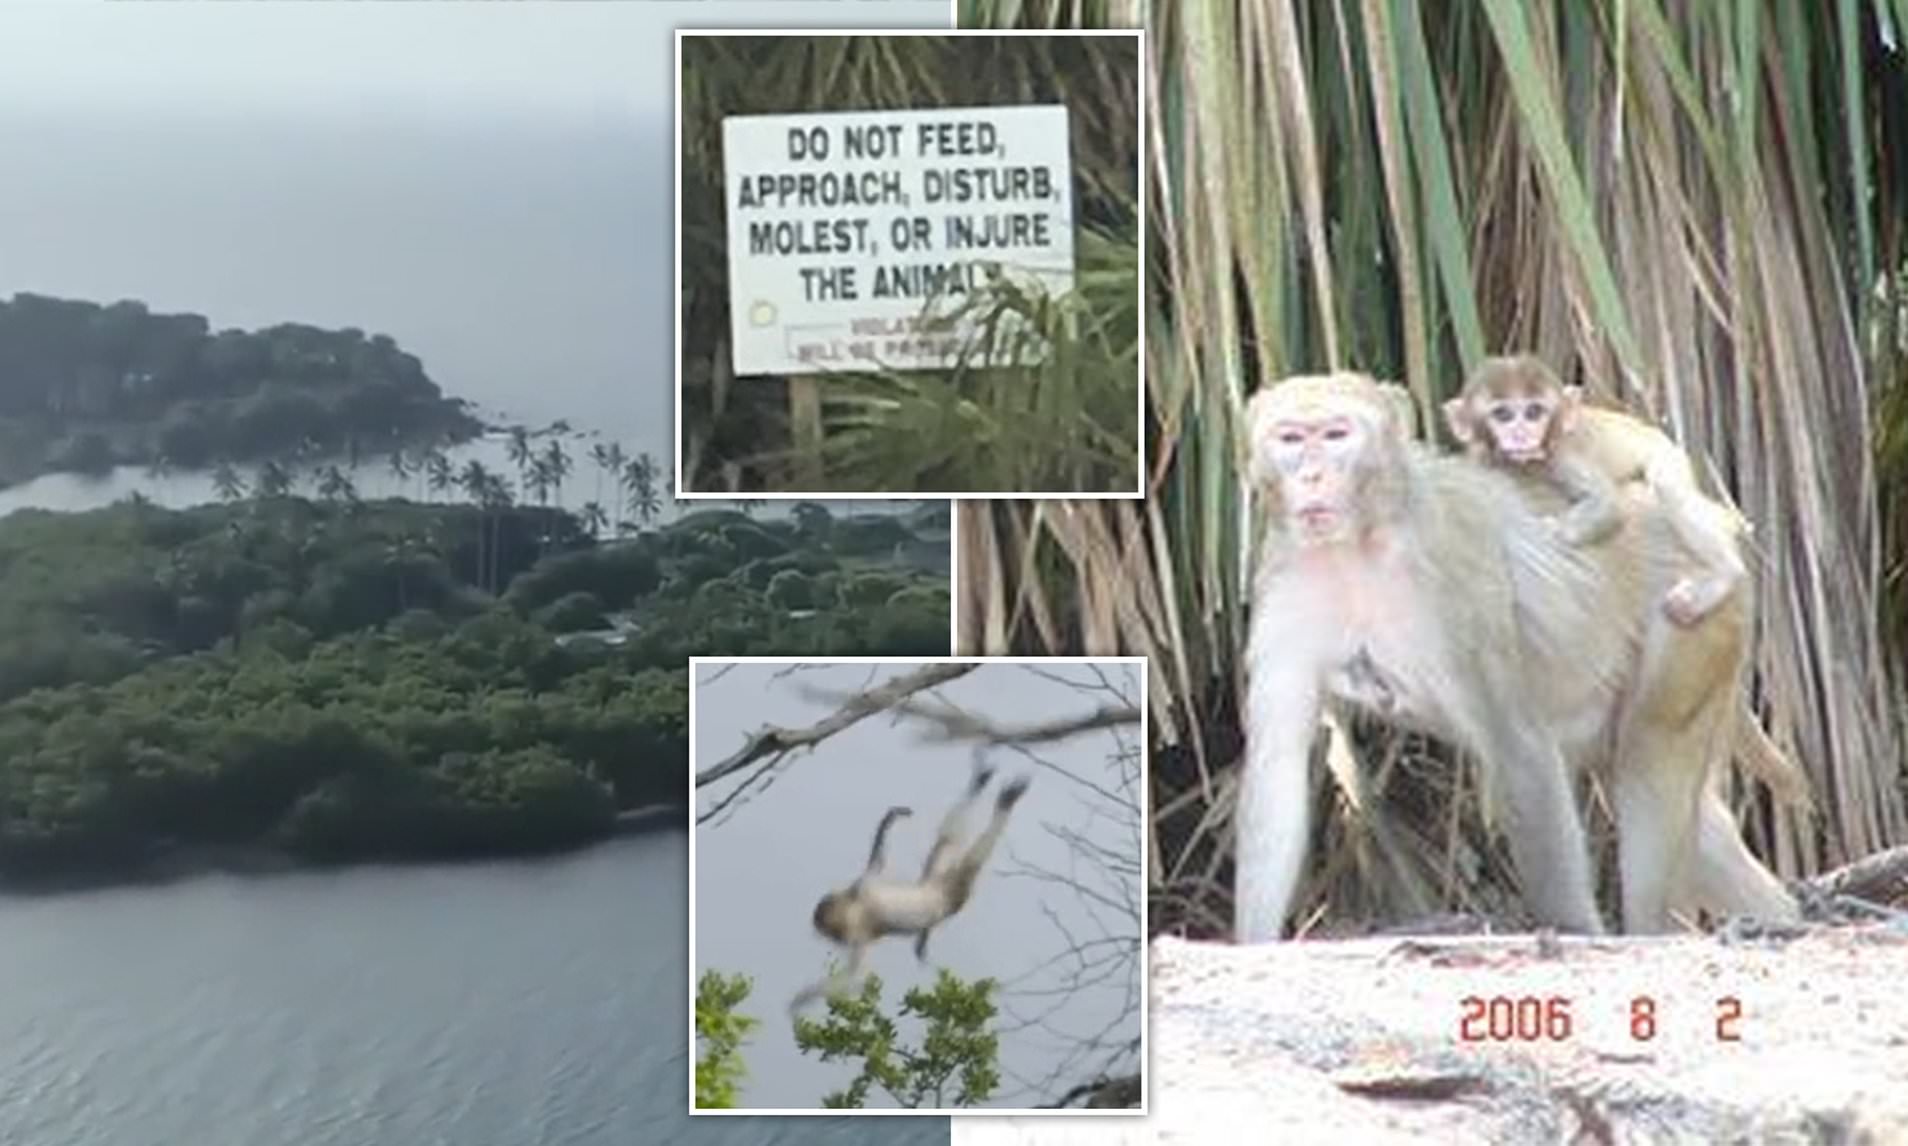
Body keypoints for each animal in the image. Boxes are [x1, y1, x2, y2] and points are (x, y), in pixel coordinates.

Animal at [789, 758, 1030, 1006]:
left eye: (829, 930)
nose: (832, 938)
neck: (855, 905)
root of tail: (935, 887)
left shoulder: (857, 915)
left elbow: (857, 976)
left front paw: (800, 999)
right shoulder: (858, 895)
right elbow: (877, 864)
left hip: (952, 892)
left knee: (972, 859)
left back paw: (1005, 800)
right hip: (936, 873)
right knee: (948, 839)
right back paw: (981, 782)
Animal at [1442, 354, 1747, 625]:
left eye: (1534, 412)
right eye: (1503, 415)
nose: (1521, 433)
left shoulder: (1561, 453)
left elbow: (1606, 502)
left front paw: (1553, 533)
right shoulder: (1479, 457)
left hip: (1665, 452)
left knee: (1668, 487)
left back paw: (1726, 573)